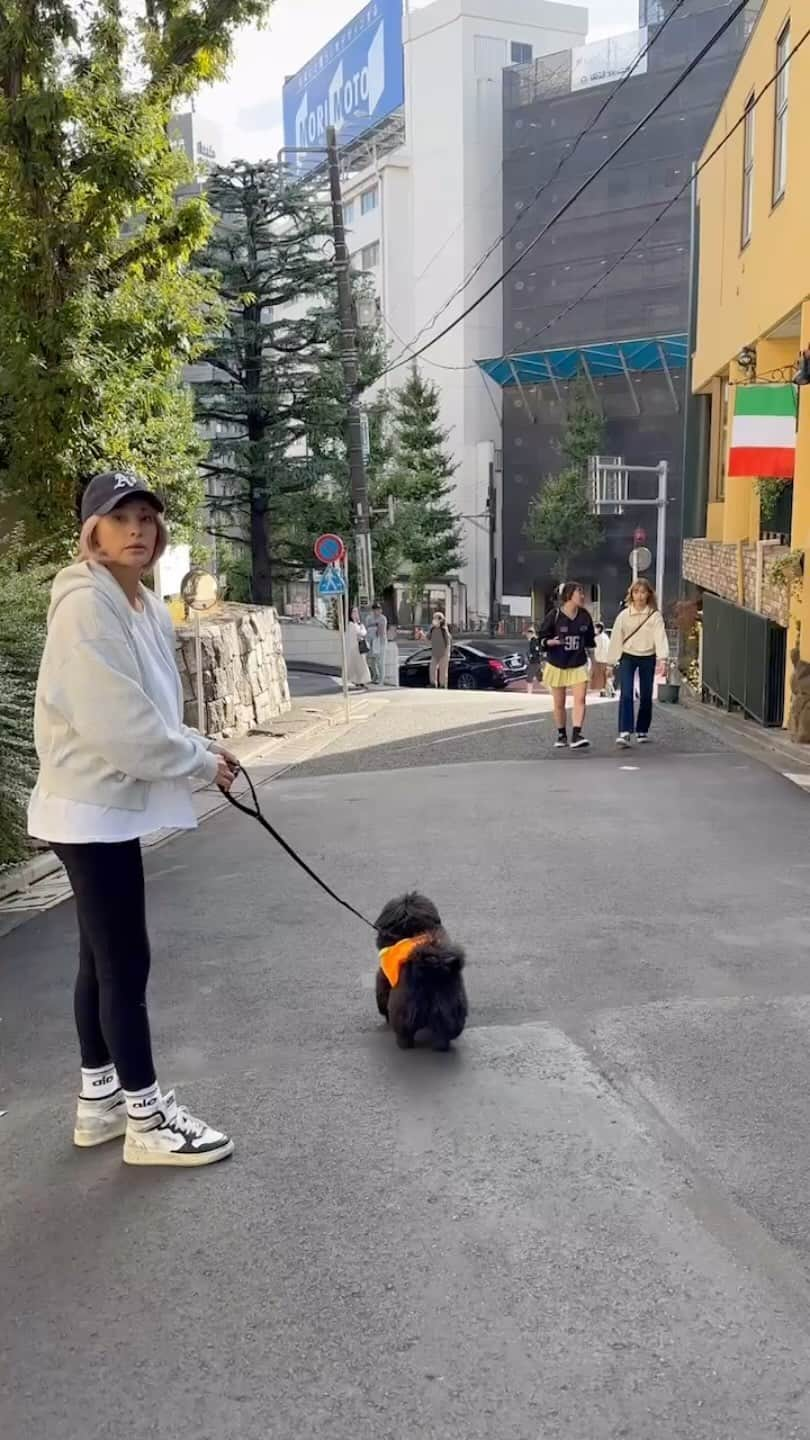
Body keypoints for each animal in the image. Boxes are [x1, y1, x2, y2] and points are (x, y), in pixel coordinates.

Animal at [374, 892, 466, 1054]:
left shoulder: (383, 978)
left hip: (403, 1011)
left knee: (404, 1034)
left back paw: (403, 1045)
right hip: (451, 1009)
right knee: (444, 1035)